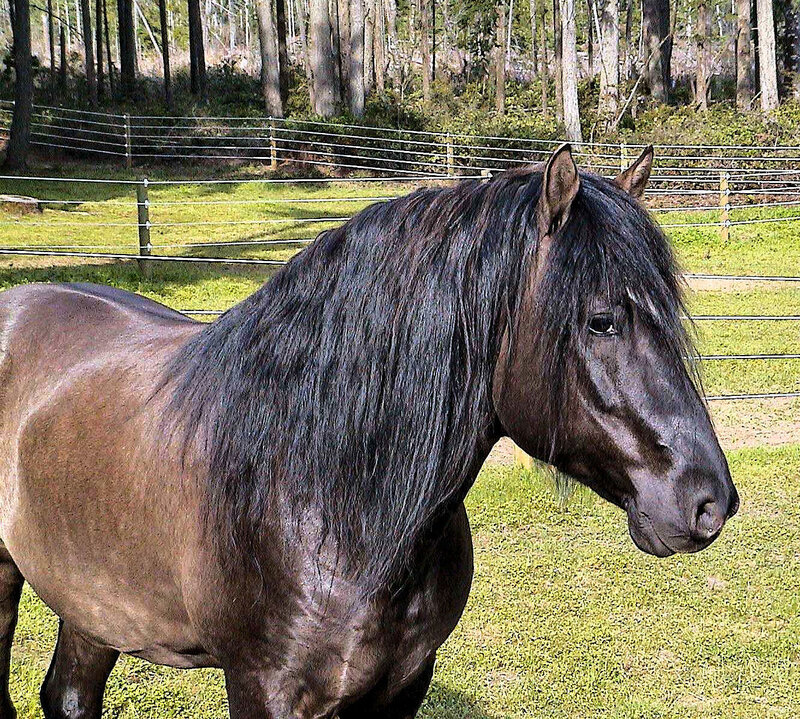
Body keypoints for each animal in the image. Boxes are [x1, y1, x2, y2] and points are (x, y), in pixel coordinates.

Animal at [0, 144, 738, 719]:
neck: (327, 493)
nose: (709, 502)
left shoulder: (403, 685)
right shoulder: (264, 689)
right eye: (600, 320)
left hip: (92, 604)